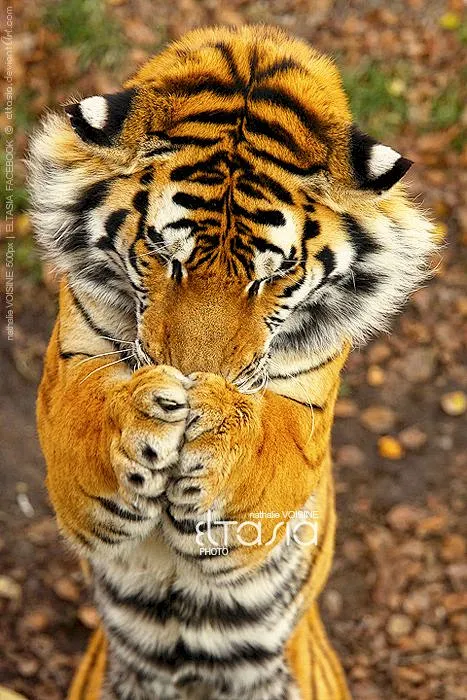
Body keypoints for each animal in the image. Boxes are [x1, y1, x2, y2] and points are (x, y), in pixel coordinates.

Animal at [28, 25, 435, 700]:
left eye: (273, 276)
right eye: (164, 254)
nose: (196, 377)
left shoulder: (306, 420)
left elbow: (266, 454)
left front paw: (214, 421)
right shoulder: (67, 368)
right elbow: (85, 423)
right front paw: (148, 408)